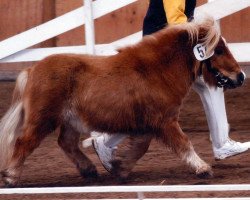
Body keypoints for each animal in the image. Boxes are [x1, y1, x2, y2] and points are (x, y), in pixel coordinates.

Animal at [0, 16, 245, 187]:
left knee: (66, 143)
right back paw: (11, 177)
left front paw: (121, 169)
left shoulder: (149, 124)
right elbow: (183, 144)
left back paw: (89, 170)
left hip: (71, 120)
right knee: (24, 142)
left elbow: (140, 148)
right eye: (218, 50)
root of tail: (32, 70)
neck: (156, 71)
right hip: (43, 119)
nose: (240, 76)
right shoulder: (165, 121)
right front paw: (203, 169)